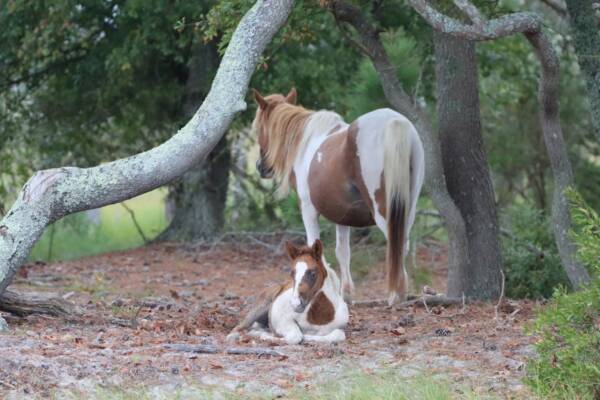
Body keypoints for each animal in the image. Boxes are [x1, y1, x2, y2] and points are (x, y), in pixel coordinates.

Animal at [251, 88, 424, 304]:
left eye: (259, 128)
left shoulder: (308, 210)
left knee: (395, 244)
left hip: (384, 211)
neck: (304, 142)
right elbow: (342, 252)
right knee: (403, 244)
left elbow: (315, 249)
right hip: (408, 208)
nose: (261, 167)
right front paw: (346, 294)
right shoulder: (342, 215)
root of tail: (395, 122)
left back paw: (395, 295)